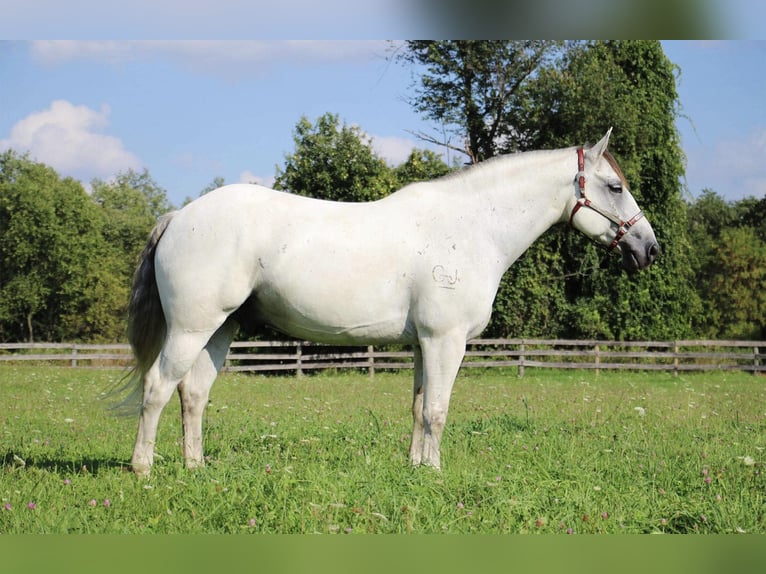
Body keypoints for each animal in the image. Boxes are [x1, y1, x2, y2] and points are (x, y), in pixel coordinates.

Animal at [124, 130, 660, 476]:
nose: (649, 249)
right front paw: (436, 472)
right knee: (157, 388)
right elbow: (439, 409)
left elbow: (420, 407)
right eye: (615, 187)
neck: (472, 228)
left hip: (220, 329)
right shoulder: (446, 342)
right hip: (192, 329)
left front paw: (416, 466)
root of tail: (179, 216)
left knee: (193, 394)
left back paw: (195, 467)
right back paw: (143, 469)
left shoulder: (424, 344)